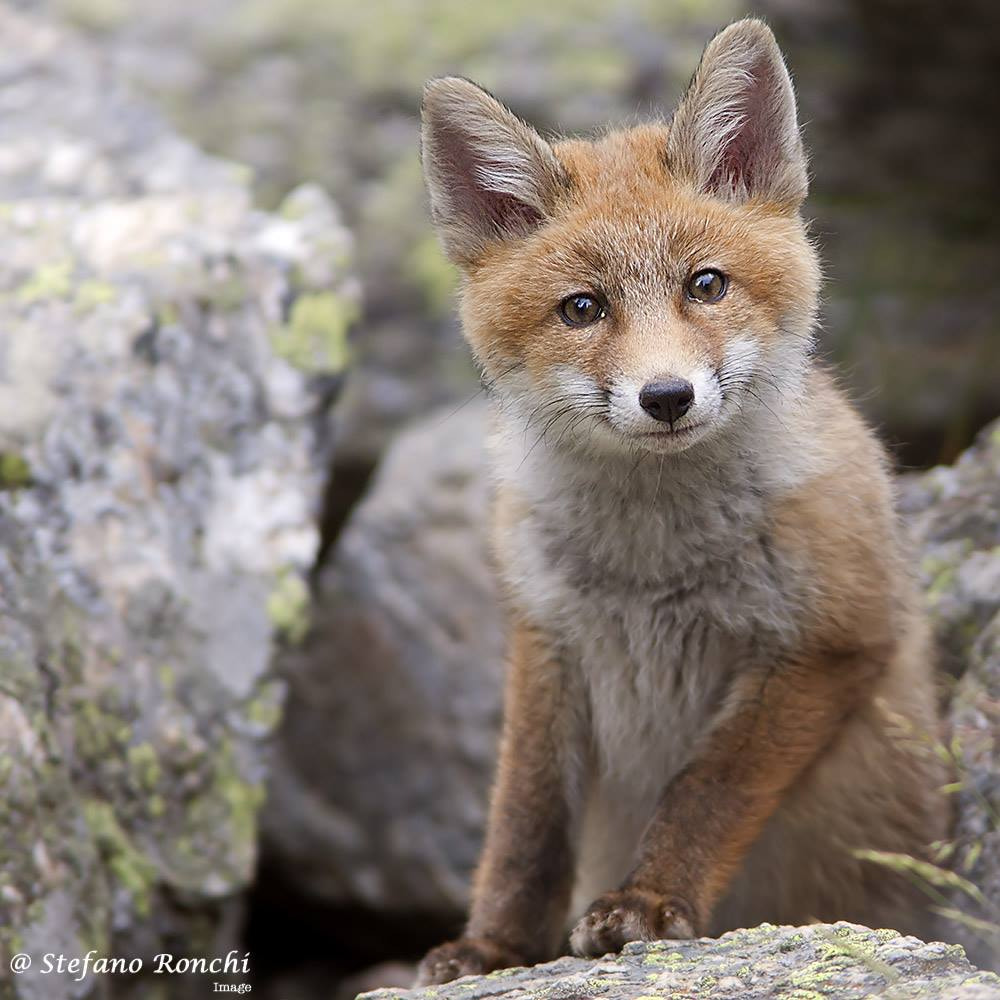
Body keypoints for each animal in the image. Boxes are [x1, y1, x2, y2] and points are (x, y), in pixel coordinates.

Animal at [412, 15, 944, 984]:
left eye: (706, 285)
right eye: (583, 308)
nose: (666, 397)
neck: (650, 569)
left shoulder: (831, 640)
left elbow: (707, 790)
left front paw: (651, 902)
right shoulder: (545, 640)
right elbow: (524, 826)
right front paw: (495, 948)